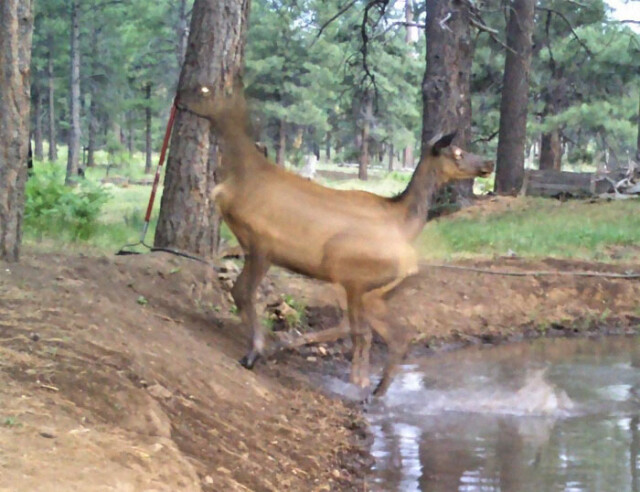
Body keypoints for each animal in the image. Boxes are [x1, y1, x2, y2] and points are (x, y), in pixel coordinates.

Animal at [178, 88, 492, 396]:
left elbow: (361, 332)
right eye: (457, 152)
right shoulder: (346, 279)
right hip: (285, 256)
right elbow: (358, 333)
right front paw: (356, 380)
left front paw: (357, 379)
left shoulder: (353, 285)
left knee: (395, 335)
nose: (488, 163)